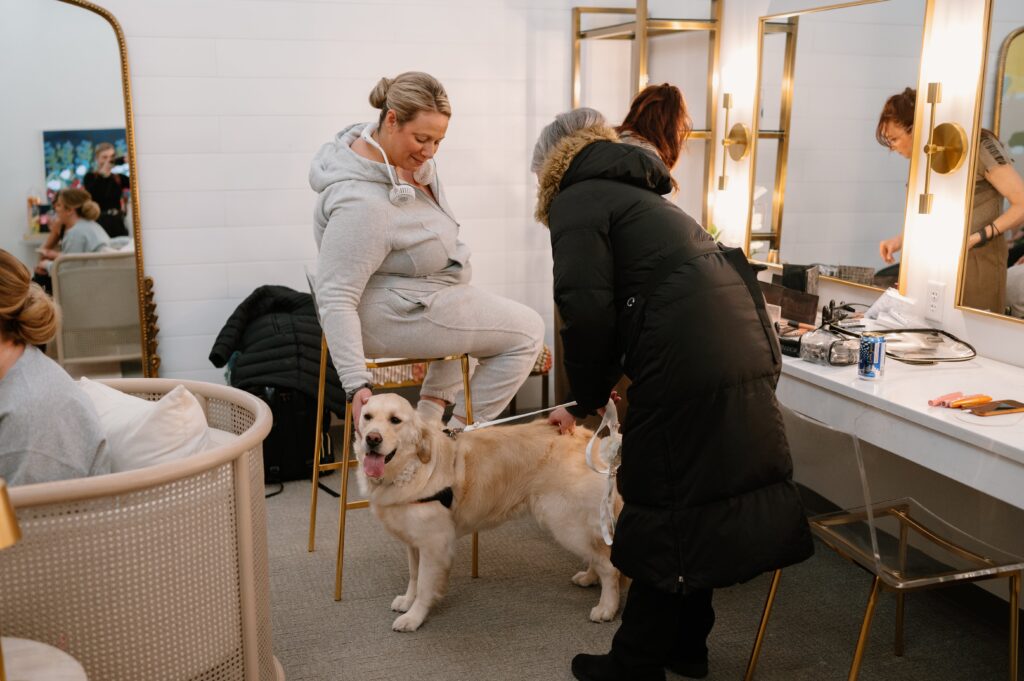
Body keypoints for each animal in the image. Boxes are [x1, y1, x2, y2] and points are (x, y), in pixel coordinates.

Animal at [352, 393, 622, 630]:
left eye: (395, 420)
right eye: (367, 416)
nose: (372, 439)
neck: (411, 467)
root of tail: (591, 439)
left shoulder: (434, 543)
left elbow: (425, 585)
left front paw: (413, 617)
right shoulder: (414, 540)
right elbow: (414, 576)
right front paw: (407, 601)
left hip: (566, 522)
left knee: (609, 566)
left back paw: (606, 608)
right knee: (597, 555)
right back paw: (589, 578)